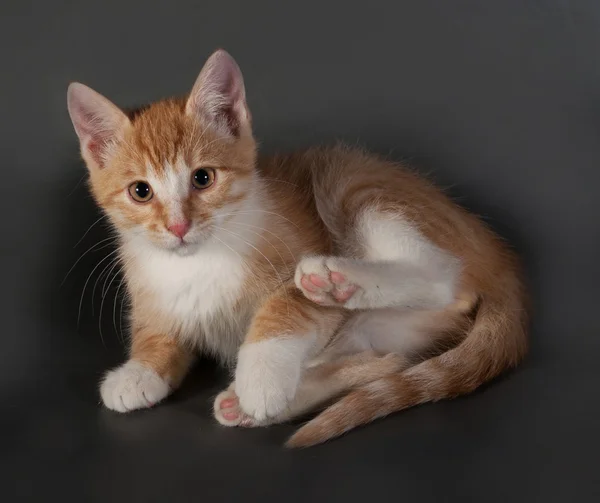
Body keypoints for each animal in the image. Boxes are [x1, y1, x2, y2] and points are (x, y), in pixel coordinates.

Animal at [67, 49, 528, 446]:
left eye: (203, 178)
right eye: (140, 191)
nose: (178, 226)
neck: (198, 260)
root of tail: (501, 257)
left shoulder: (292, 248)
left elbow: (285, 307)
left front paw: (262, 378)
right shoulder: (156, 296)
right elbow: (157, 333)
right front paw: (139, 372)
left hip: (351, 183)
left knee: (444, 281)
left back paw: (333, 281)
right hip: (384, 326)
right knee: (387, 359)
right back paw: (249, 404)